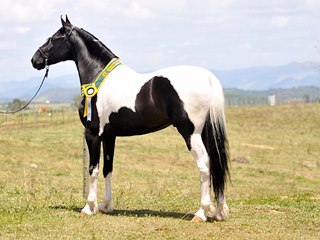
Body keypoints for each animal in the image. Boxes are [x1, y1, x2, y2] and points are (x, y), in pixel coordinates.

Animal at [30, 16, 230, 221]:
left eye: (54, 38)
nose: (35, 60)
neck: (99, 78)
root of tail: (207, 76)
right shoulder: (109, 136)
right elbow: (107, 168)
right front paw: (105, 205)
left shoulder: (93, 134)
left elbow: (93, 169)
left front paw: (89, 207)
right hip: (204, 132)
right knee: (216, 164)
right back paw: (219, 211)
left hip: (190, 133)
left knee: (204, 164)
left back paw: (201, 213)